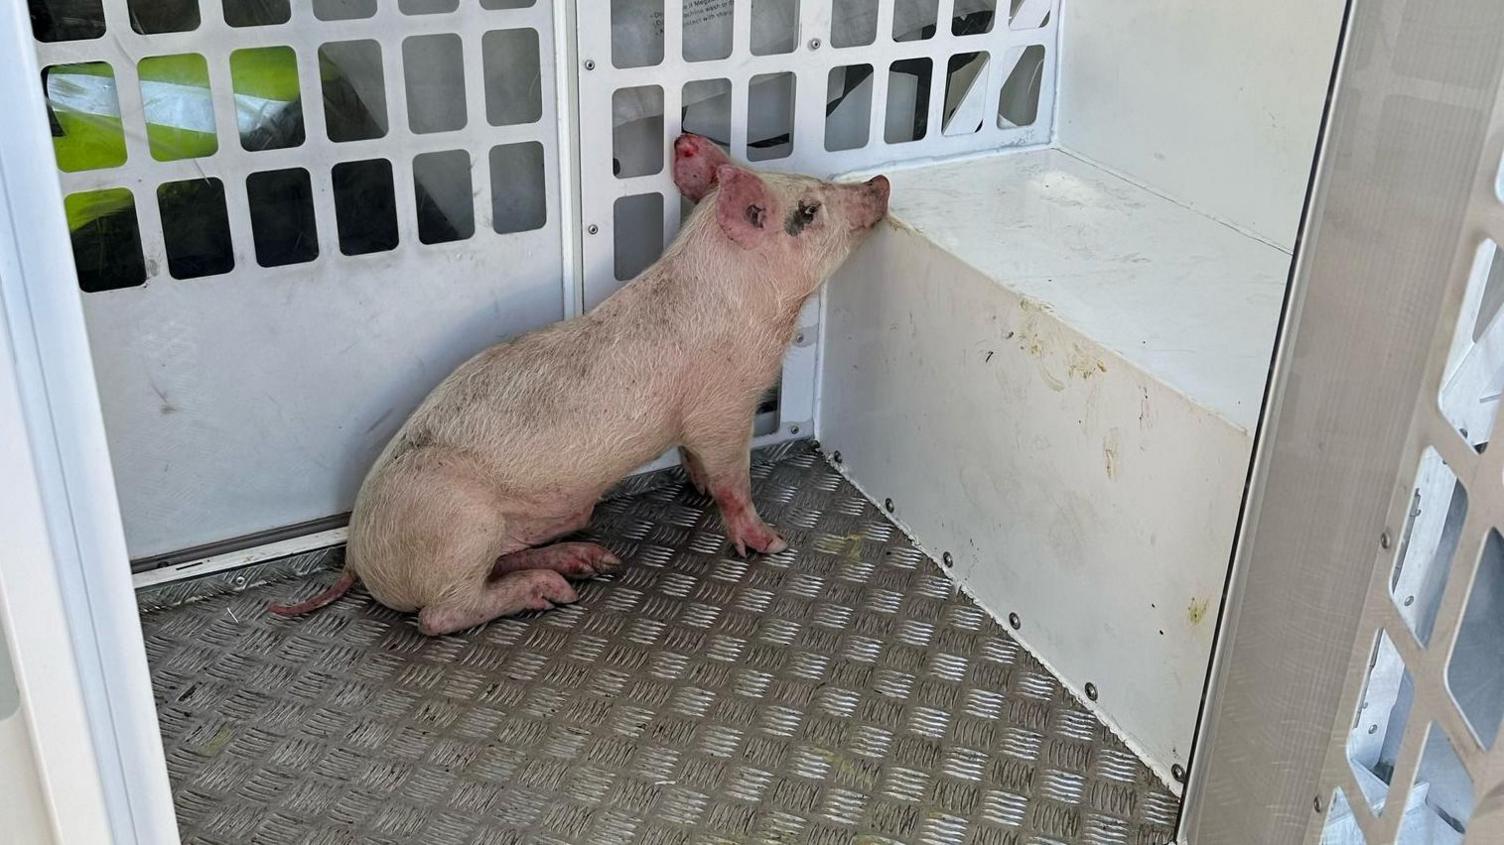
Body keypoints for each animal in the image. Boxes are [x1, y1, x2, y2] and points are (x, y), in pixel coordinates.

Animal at [272, 131, 884, 631]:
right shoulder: (722, 407)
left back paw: (590, 561)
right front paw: (770, 542)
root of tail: (356, 555)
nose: (878, 182)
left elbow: (698, 465)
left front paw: (700, 489)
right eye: (809, 209)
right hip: (459, 527)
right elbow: (734, 482)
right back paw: (555, 590)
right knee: (438, 615)